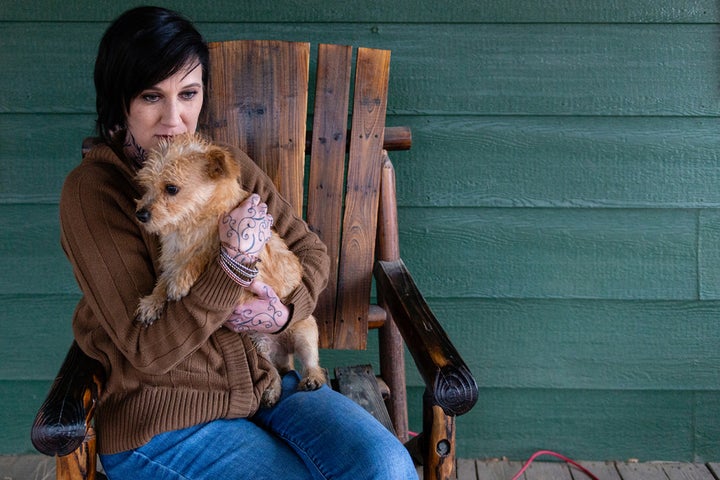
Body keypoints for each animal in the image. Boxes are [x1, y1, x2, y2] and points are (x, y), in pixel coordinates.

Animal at [134, 131, 324, 404]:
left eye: (171, 188)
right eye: (146, 186)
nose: (140, 214)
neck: (190, 225)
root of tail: (283, 349)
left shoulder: (241, 250)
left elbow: (207, 254)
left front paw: (181, 280)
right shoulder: (172, 257)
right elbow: (163, 278)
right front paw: (152, 302)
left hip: (305, 332)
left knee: (313, 364)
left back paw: (311, 379)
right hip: (260, 346)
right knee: (274, 373)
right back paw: (272, 391)